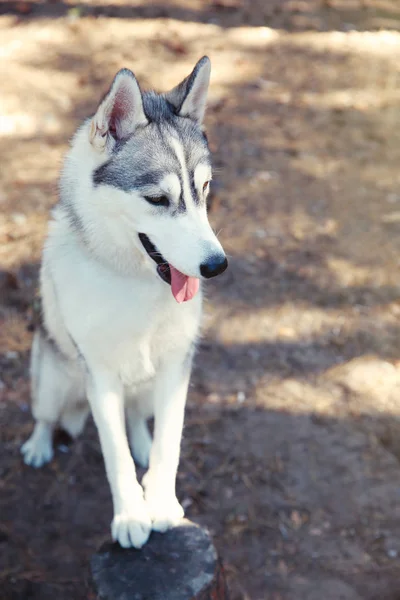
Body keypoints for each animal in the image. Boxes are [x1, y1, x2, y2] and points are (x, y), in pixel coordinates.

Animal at [21, 57, 227, 548]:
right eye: (158, 199)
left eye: (205, 190)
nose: (217, 265)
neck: (135, 284)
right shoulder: (100, 377)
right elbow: (114, 455)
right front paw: (131, 516)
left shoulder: (175, 368)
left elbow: (169, 444)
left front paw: (161, 503)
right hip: (50, 378)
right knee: (45, 414)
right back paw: (39, 444)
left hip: (147, 390)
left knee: (137, 419)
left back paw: (143, 449)